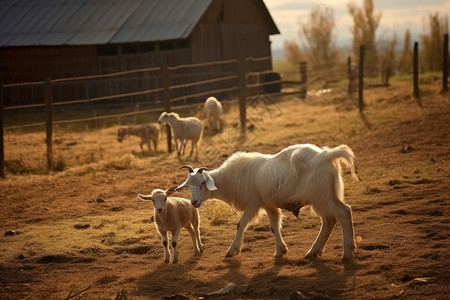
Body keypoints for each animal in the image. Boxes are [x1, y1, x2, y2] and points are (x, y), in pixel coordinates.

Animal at [176, 144, 358, 258]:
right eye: (188, 185)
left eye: (202, 184)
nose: (194, 202)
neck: (229, 180)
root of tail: (325, 154)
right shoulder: (268, 204)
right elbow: (274, 226)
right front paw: (280, 251)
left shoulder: (253, 203)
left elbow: (241, 224)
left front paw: (232, 250)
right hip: (326, 195)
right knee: (330, 220)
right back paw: (313, 252)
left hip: (321, 196)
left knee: (342, 212)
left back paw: (347, 252)